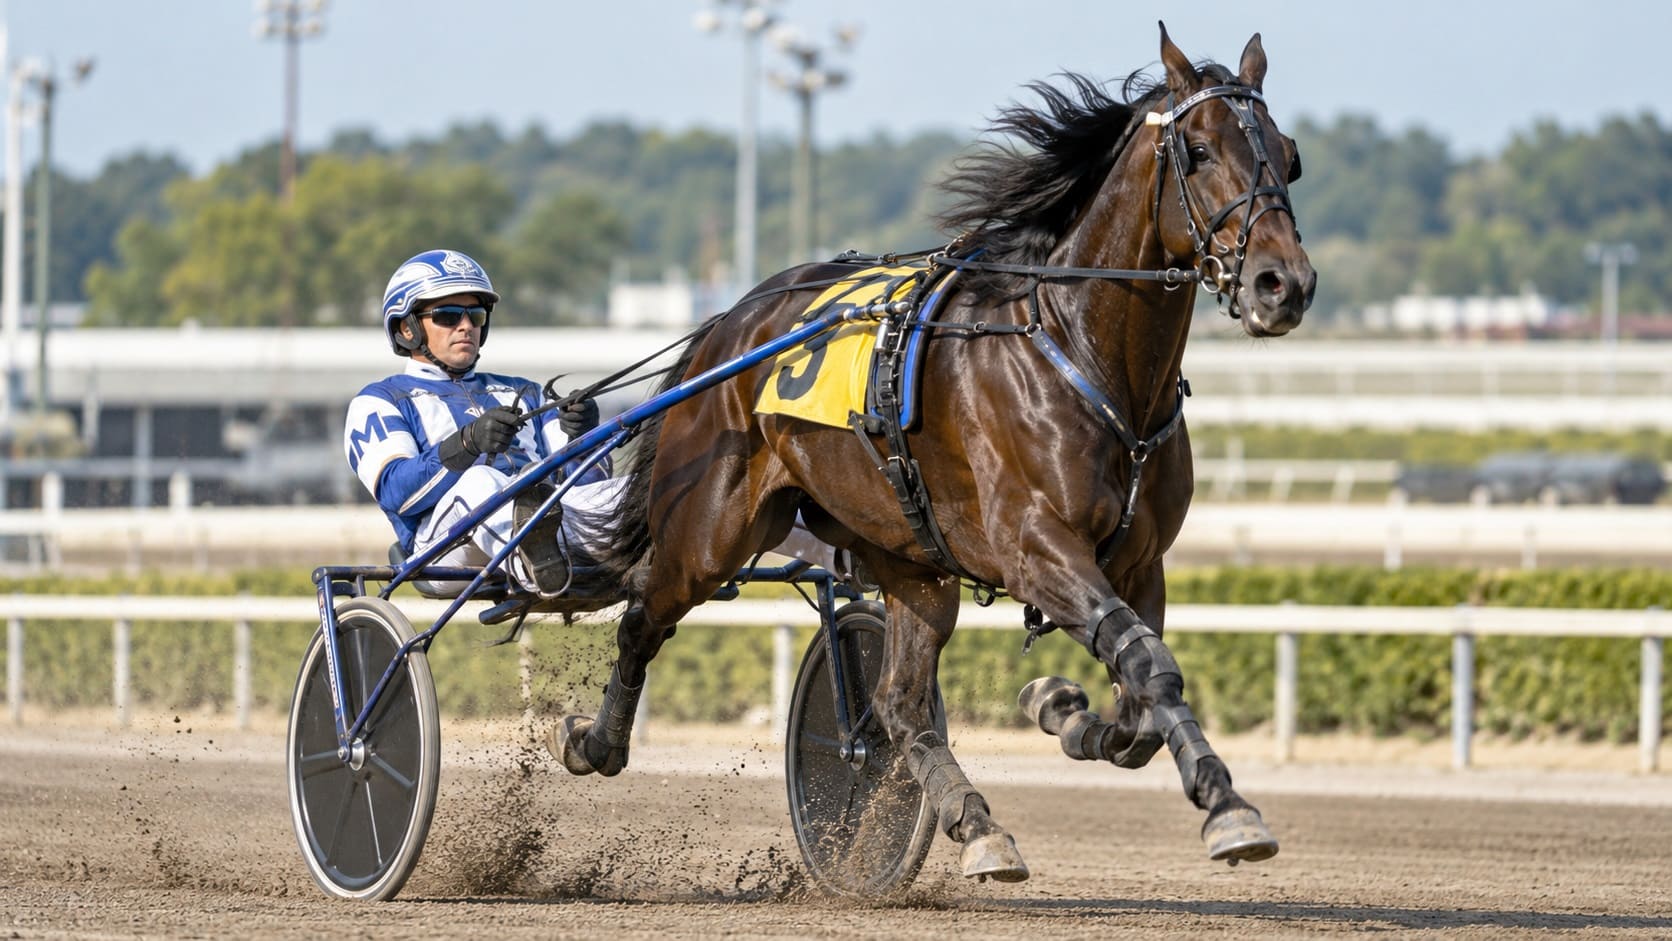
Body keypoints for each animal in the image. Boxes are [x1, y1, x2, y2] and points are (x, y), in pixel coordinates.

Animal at [553, 23, 1315, 884]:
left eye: (1288, 156)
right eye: (1198, 148)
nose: (1283, 283)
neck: (1078, 350)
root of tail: (728, 321)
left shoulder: (1139, 560)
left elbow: (1140, 699)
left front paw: (1062, 706)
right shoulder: (1036, 547)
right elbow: (1147, 665)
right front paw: (1230, 808)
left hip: (908, 555)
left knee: (897, 702)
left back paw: (976, 822)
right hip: (710, 529)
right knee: (643, 615)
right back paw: (593, 741)